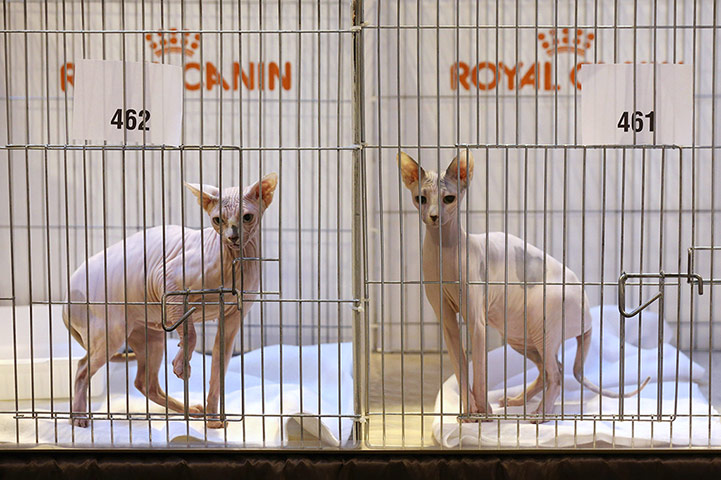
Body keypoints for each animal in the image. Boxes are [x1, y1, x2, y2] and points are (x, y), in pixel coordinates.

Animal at [63, 173, 278, 428]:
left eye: (247, 217)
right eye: (218, 220)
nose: (233, 236)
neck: (234, 261)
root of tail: (65, 301)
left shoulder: (233, 317)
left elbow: (219, 369)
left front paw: (213, 420)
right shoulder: (168, 281)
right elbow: (191, 334)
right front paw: (181, 364)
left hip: (150, 336)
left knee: (145, 384)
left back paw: (190, 411)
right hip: (110, 332)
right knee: (82, 368)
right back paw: (78, 417)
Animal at [396, 152, 648, 422]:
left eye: (448, 199)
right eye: (421, 199)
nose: (433, 216)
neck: (444, 251)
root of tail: (589, 316)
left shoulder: (477, 323)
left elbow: (480, 373)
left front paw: (484, 413)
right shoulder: (447, 321)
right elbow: (461, 369)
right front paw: (468, 413)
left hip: (544, 327)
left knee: (556, 374)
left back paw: (541, 414)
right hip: (518, 335)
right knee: (551, 369)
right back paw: (518, 401)